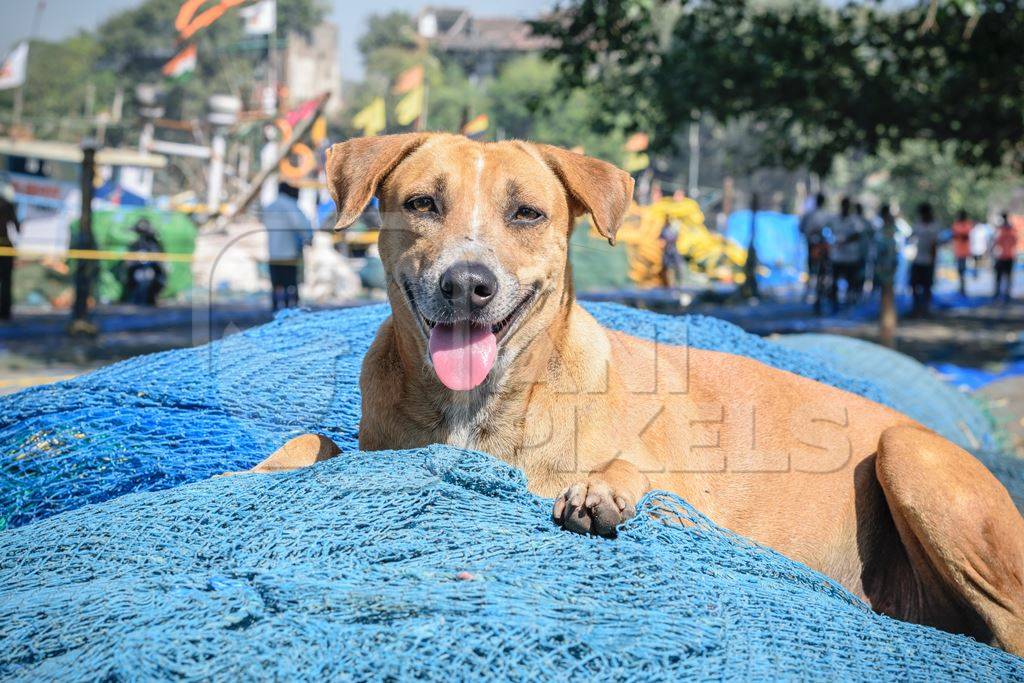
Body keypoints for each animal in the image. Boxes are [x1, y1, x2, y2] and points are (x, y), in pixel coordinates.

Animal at [253, 135, 1024, 655]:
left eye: (527, 213)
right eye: (422, 203)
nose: (468, 283)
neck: (482, 405)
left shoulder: (683, 496)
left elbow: (628, 468)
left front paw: (601, 490)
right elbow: (315, 439)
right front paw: (264, 467)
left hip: (910, 455)